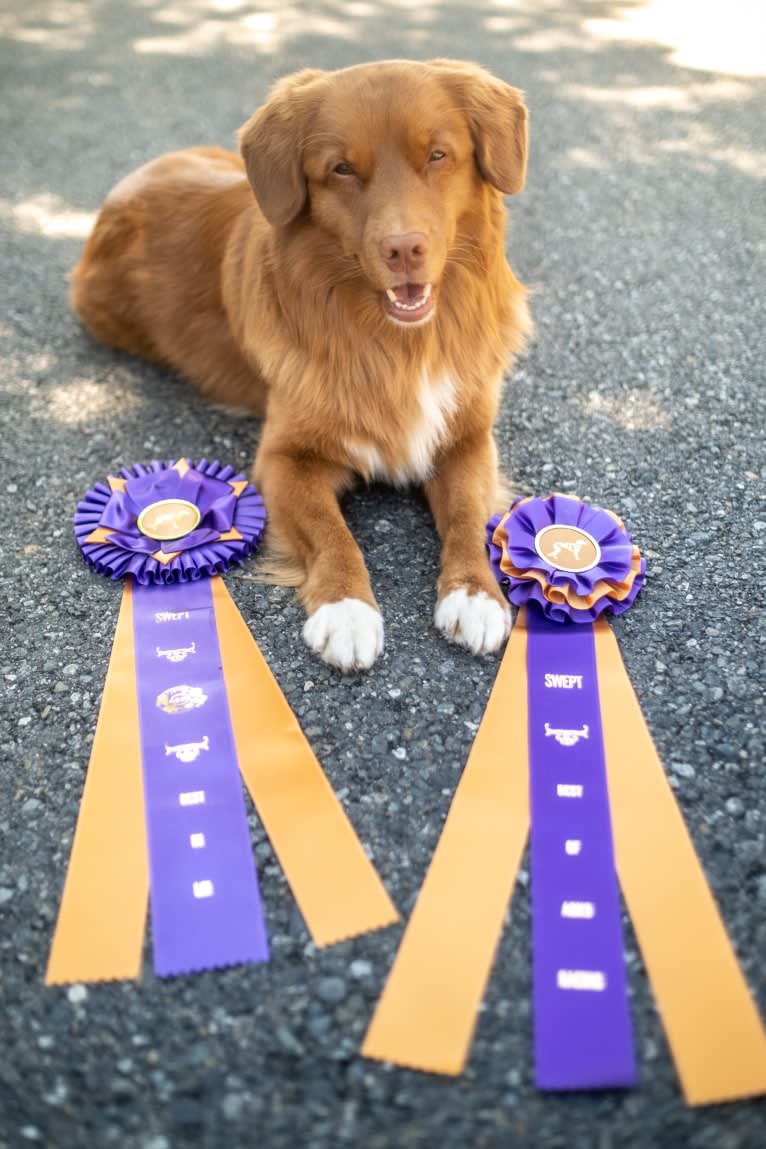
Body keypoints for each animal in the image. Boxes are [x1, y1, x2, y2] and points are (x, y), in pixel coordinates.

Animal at [70, 60, 528, 671]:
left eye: (437, 155)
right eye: (341, 169)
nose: (403, 249)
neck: (394, 341)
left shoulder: (469, 438)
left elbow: (466, 515)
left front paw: (476, 593)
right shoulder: (285, 459)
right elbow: (332, 532)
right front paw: (346, 609)